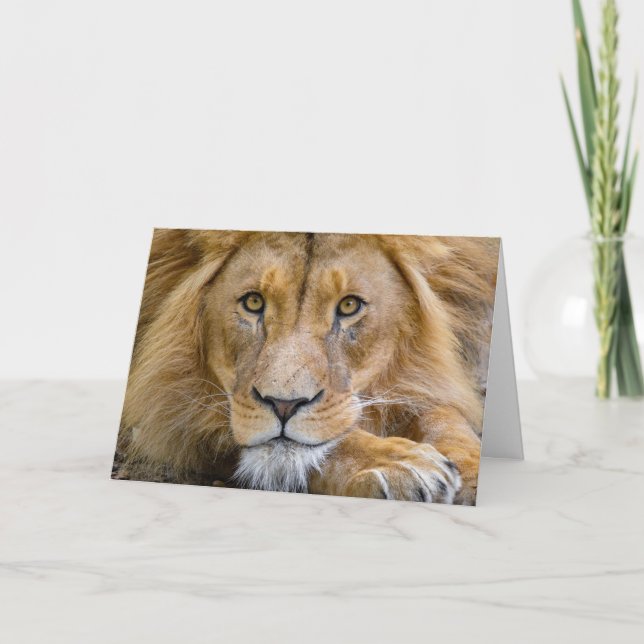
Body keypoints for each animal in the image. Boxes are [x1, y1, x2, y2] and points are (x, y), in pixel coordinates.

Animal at [114, 230, 499, 505]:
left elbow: (442, 416)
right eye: (253, 302)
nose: (284, 405)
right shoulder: (169, 399)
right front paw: (398, 462)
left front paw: (473, 469)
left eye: (349, 306)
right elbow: (325, 445)